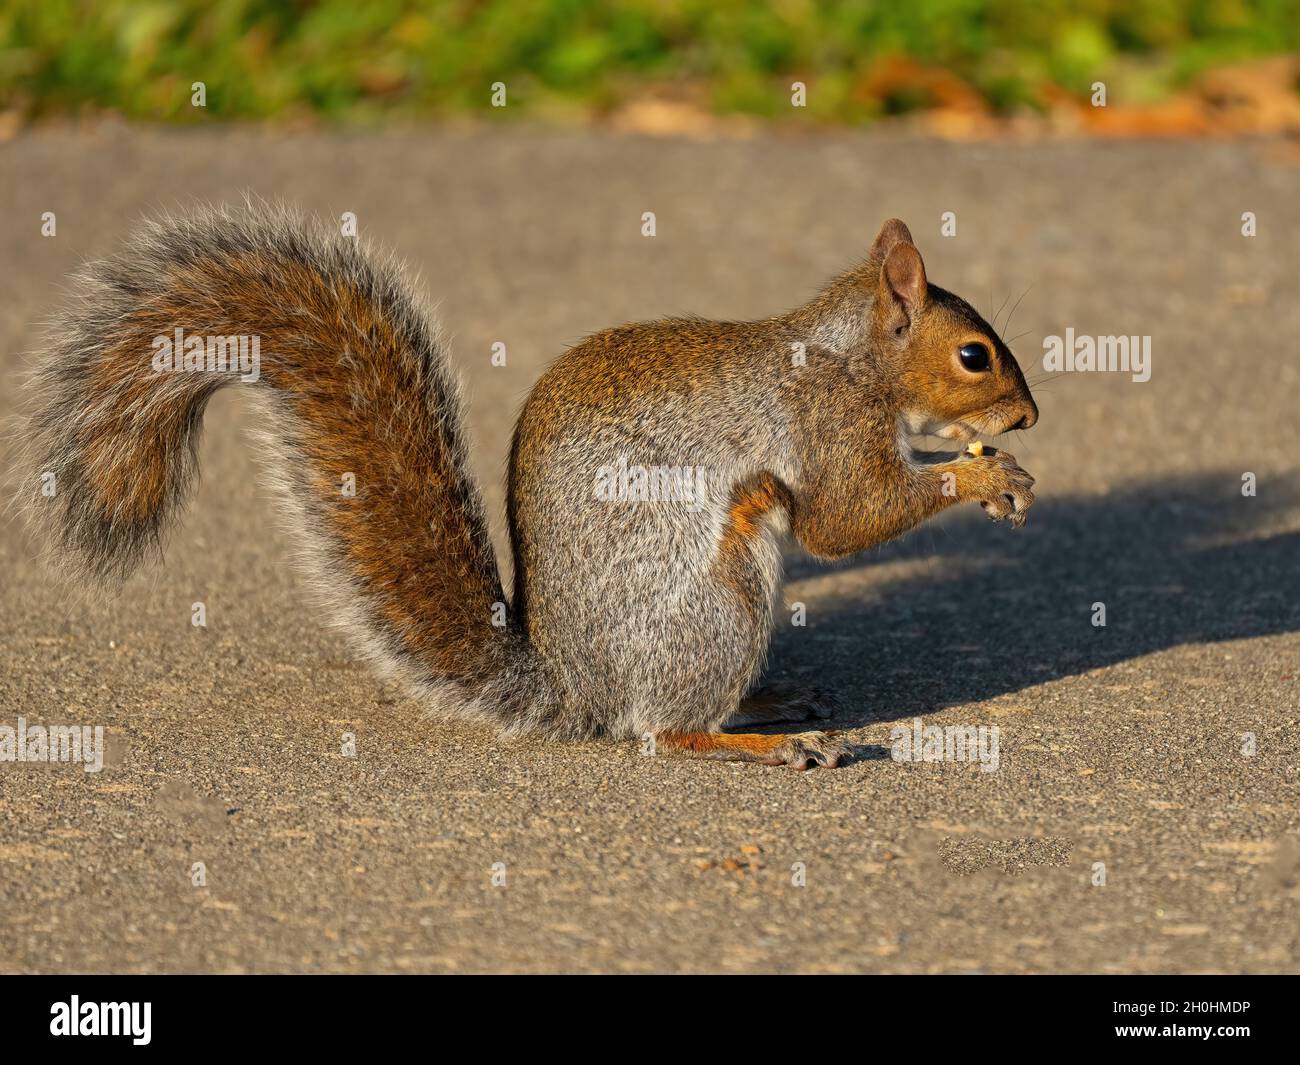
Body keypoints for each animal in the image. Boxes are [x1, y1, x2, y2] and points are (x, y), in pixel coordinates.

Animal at [20, 205, 1037, 770]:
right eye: (973, 355)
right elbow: (846, 519)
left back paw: (768, 701)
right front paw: (980, 473)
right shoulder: (825, 425)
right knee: (662, 732)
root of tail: (575, 686)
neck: (851, 356)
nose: (1027, 417)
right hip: (719, 600)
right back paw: (762, 742)